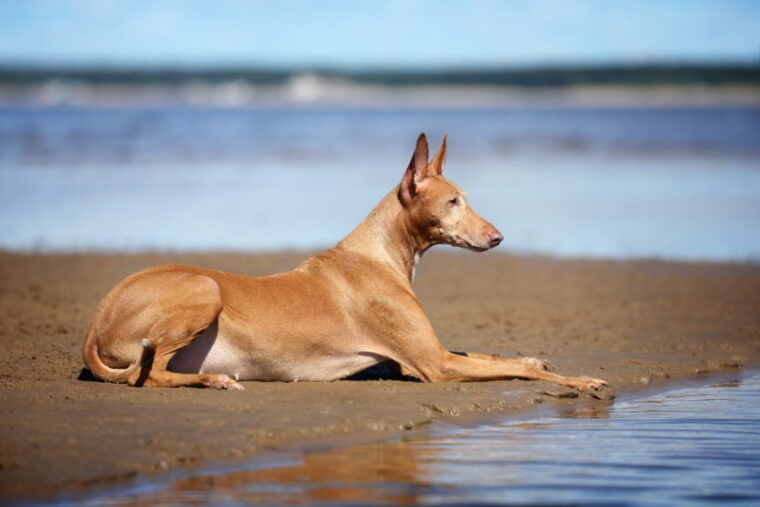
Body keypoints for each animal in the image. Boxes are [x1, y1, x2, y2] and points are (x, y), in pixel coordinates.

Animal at [83, 134, 604, 392]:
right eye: (454, 202)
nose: (498, 238)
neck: (379, 255)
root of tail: (97, 318)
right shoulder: (430, 365)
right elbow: (522, 371)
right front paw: (578, 380)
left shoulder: (432, 353)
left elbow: (494, 355)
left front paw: (533, 355)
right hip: (204, 289)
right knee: (149, 375)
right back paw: (212, 379)